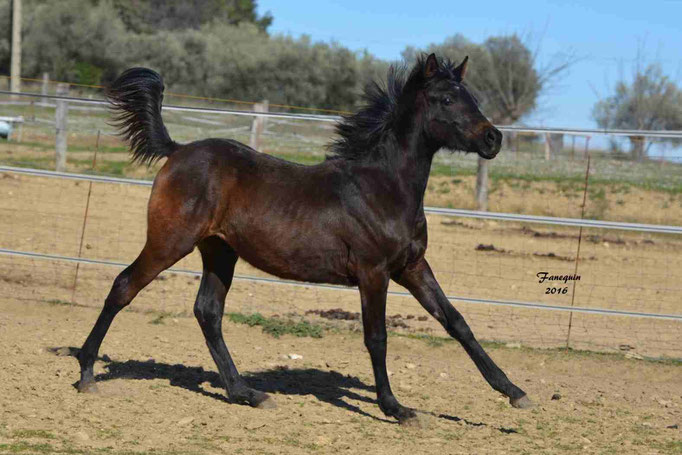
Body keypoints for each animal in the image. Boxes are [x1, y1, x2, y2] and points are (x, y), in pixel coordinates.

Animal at [75, 53, 532, 428]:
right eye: (447, 99)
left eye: (471, 96)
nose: (493, 138)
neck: (382, 187)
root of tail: (178, 149)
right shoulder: (374, 272)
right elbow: (377, 337)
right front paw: (396, 409)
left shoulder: (412, 266)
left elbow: (457, 322)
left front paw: (515, 393)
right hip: (170, 241)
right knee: (124, 287)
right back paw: (86, 373)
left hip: (220, 252)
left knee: (208, 312)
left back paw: (247, 393)